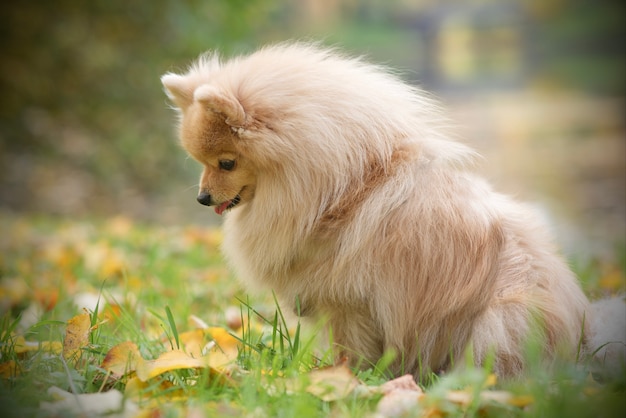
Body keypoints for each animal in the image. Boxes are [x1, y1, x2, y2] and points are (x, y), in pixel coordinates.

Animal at [162, 41, 624, 378]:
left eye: (226, 163)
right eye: (201, 162)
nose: (202, 197)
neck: (347, 189)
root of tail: (583, 340)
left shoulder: (351, 302)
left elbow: (352, 348)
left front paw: (343, 379)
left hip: (499, 321)